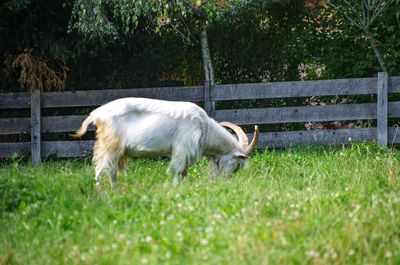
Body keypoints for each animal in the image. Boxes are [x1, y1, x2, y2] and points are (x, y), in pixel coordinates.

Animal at [73, 96, 258, 186]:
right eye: (236, 165)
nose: (224, 182)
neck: (203, 127)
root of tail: (97, 114)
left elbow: (184, 173)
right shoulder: (182, 150)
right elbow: (177, 171)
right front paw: (176, 189)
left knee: (111, 171)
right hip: (110, 145)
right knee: (100, 169)